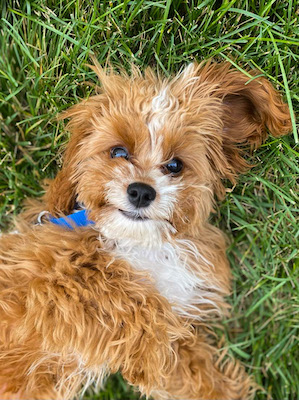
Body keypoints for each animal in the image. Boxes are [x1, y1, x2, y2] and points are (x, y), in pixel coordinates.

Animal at [0, 60, 292, 400]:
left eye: (175, 165)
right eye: (118, 152)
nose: (140, 191)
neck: (141, 246)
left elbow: (191, 369)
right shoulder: (42, 277)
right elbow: (116, 295)